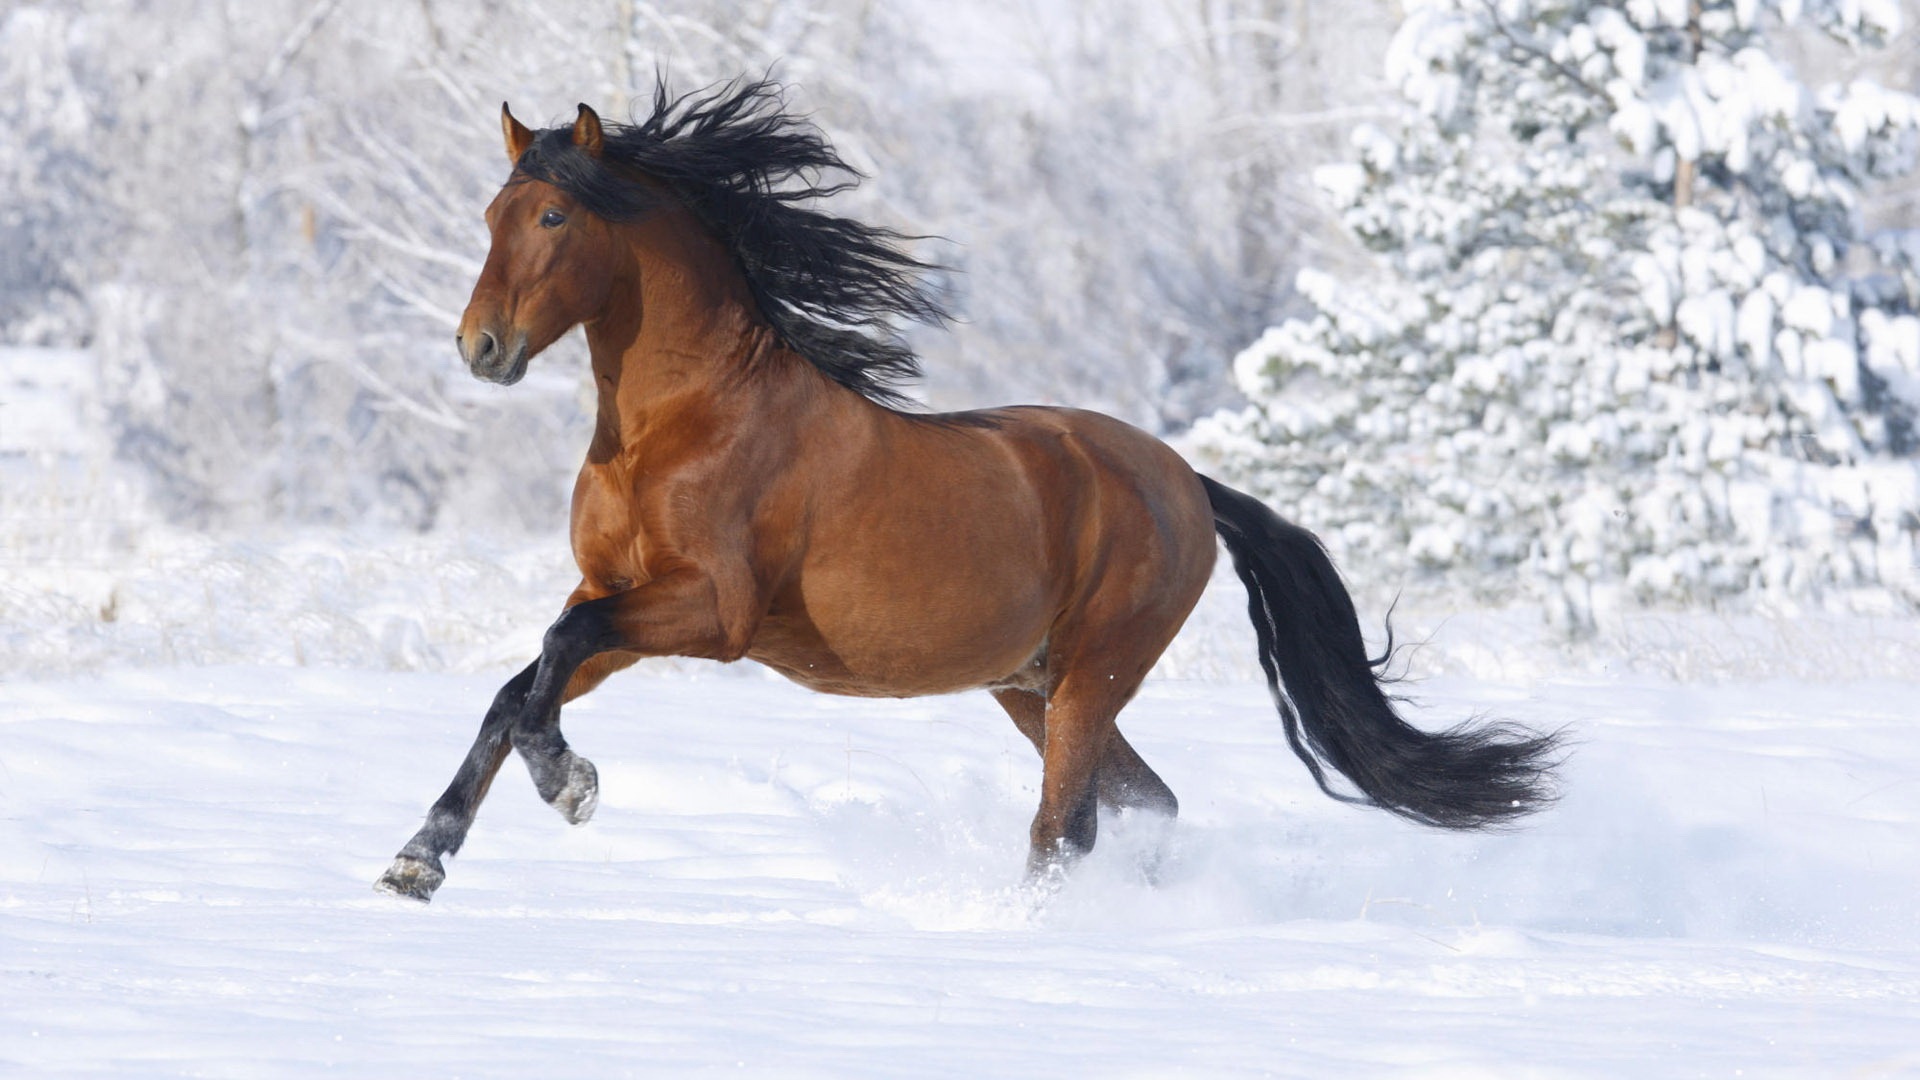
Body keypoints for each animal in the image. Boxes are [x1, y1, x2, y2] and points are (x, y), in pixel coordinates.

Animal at [370, 77, 1559, 899]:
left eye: (554, 220)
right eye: (488, 217)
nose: (481, 348)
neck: (682, 424)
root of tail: (1184, 480)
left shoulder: (709, 613)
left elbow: (547, 663)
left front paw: (571, 786)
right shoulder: (613, 596)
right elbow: (518, 687)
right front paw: (420, 859)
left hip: (1092, 675)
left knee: (1065, 827)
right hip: (1029, 685)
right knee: (1145, 803)